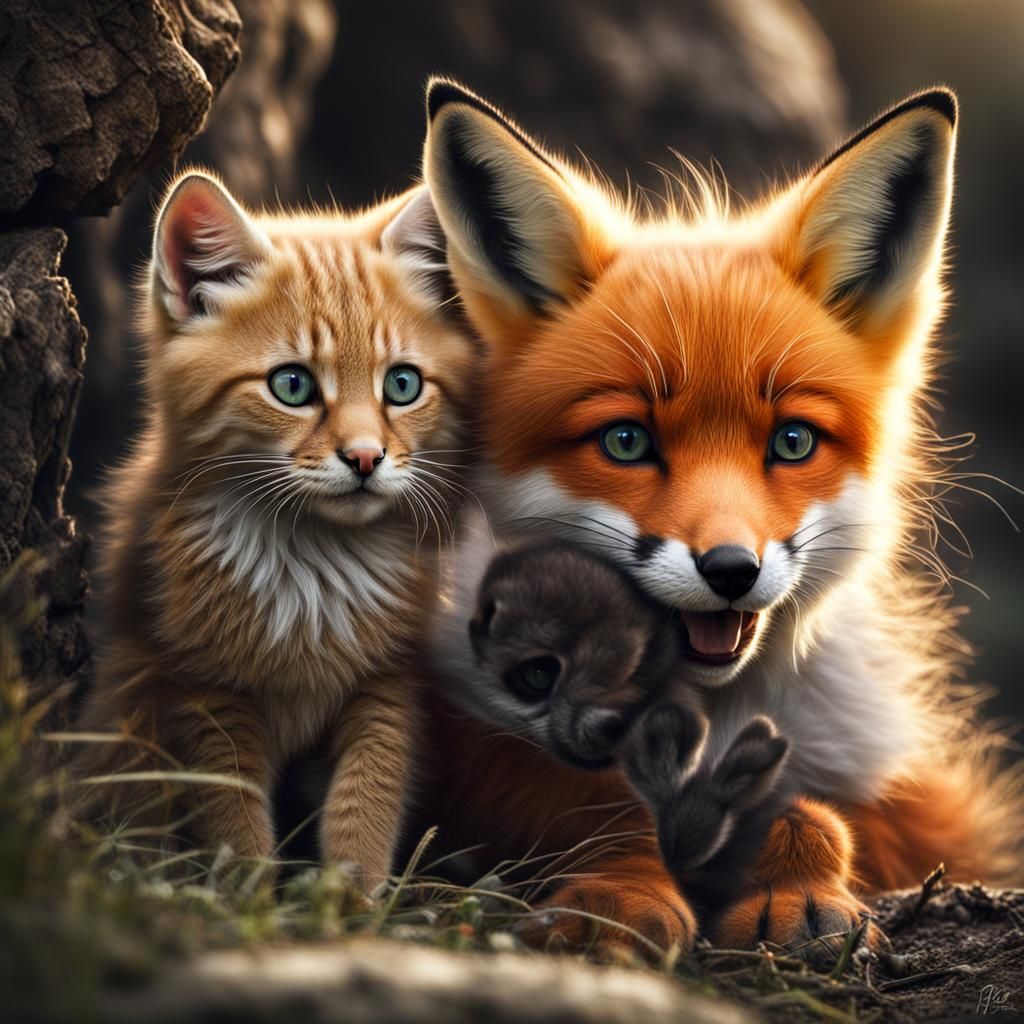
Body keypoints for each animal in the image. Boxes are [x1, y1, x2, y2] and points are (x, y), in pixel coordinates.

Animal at [405, 79, 1023, 957]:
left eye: (793, 441)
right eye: (626, 441)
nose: (731, 570)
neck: (711, 717)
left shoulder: (909, 805)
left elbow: (816, 816)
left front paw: (797, 892)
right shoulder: (477, 758)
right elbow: (603, 815)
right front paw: (619, 894)